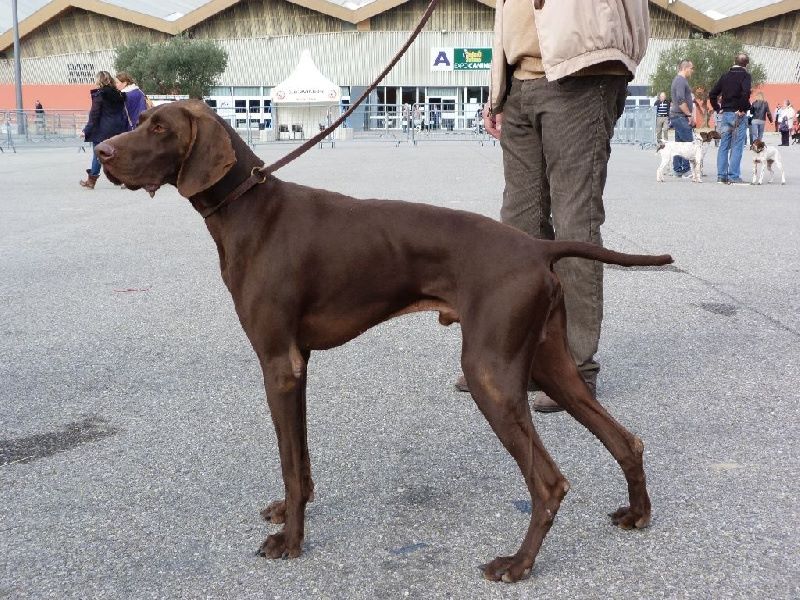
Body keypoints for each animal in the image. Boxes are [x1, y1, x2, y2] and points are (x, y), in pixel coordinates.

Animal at [97, 101, 672, 584]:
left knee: (549, 483)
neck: (250, 211)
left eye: (160, 127)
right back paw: (637, 512)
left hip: (490, 374)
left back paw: (518, 563)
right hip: (548, 366)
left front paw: (291, 541)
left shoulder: (277, 363)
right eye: (140, 118)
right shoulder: (298, 365)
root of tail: (537, 247)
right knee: (627, 441)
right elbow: (299, 456)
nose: (101, 152)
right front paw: (292, 510)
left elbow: (288, 461)